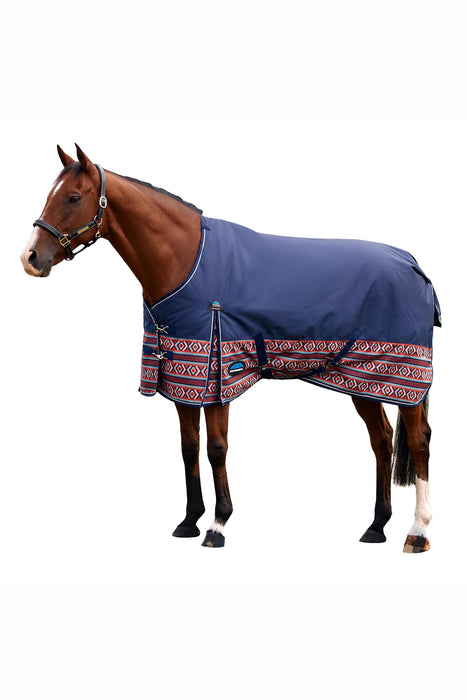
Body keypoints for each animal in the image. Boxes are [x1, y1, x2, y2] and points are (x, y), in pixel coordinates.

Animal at [21, 144, 440, 552]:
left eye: (74, 197)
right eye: (50, 194)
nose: (30, 258)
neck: (185, 259)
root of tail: (414, 265)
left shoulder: (218, 374)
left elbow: (216, 449)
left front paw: (217, 525)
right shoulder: (181, 378)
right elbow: (189, 447)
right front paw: (189, 521)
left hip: (404, 379)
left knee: (418, 441)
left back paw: (417, 531)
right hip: (362, 378)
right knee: (382, 441)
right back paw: (376, 526)